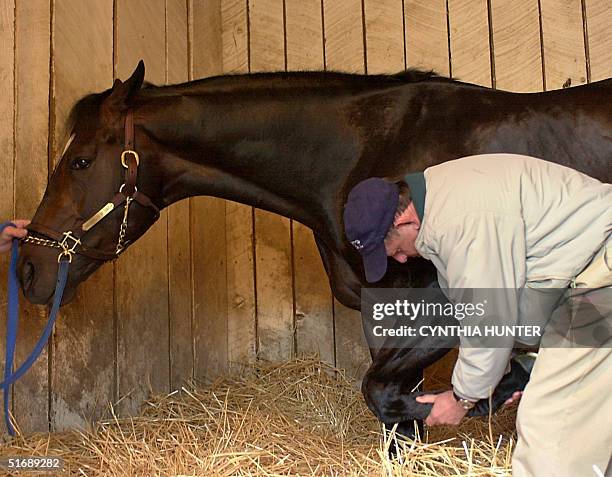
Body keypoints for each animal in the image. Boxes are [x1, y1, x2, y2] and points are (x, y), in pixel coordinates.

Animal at [15, 60, 612, 438]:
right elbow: (392, 414)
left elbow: (387, 395)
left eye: (81, 161)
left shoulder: (445, 303)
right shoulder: (383, 310)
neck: (369, 152)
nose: (27, 269)